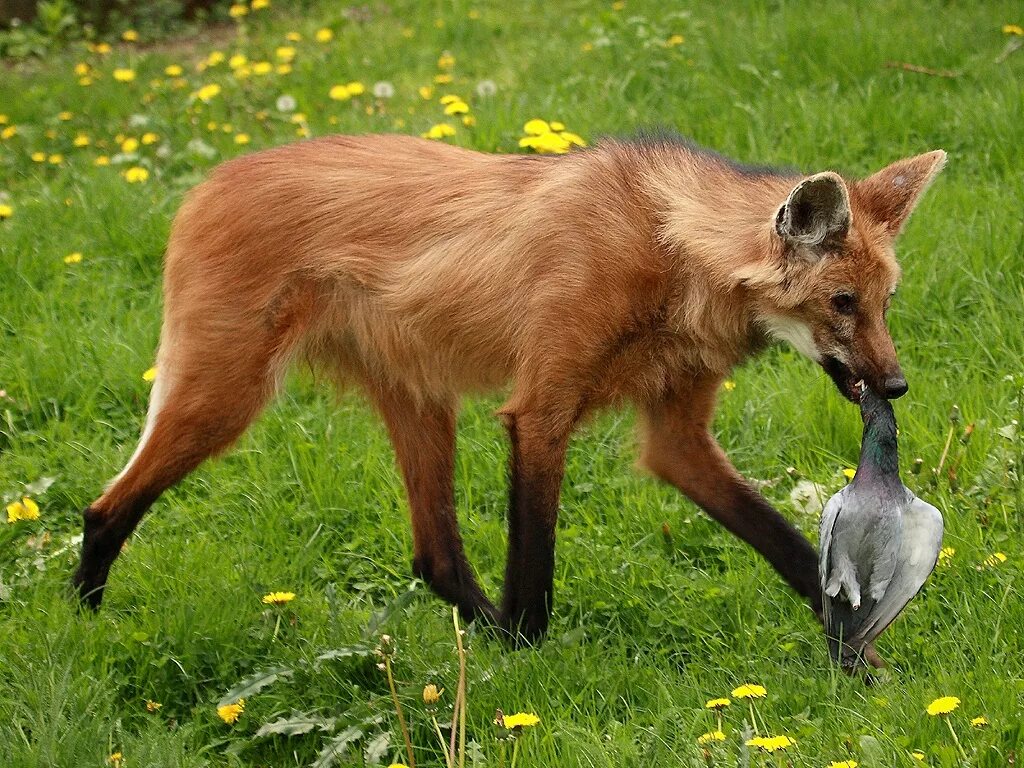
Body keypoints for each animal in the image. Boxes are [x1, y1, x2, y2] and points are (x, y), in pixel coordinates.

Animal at [74, 134, 942, 643]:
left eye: (887, 302)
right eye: (841, 302)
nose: (896, 384)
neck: (671, 252)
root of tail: (204, 184)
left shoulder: (677, 439)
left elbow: (783, 542)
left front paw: (861, 657)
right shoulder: (541, 408)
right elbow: (537, 564)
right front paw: (532, 659)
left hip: (420, 398)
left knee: (434, 556)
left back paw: (482, 636)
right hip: (227, 394)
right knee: (105, 506)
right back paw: (83, 625)